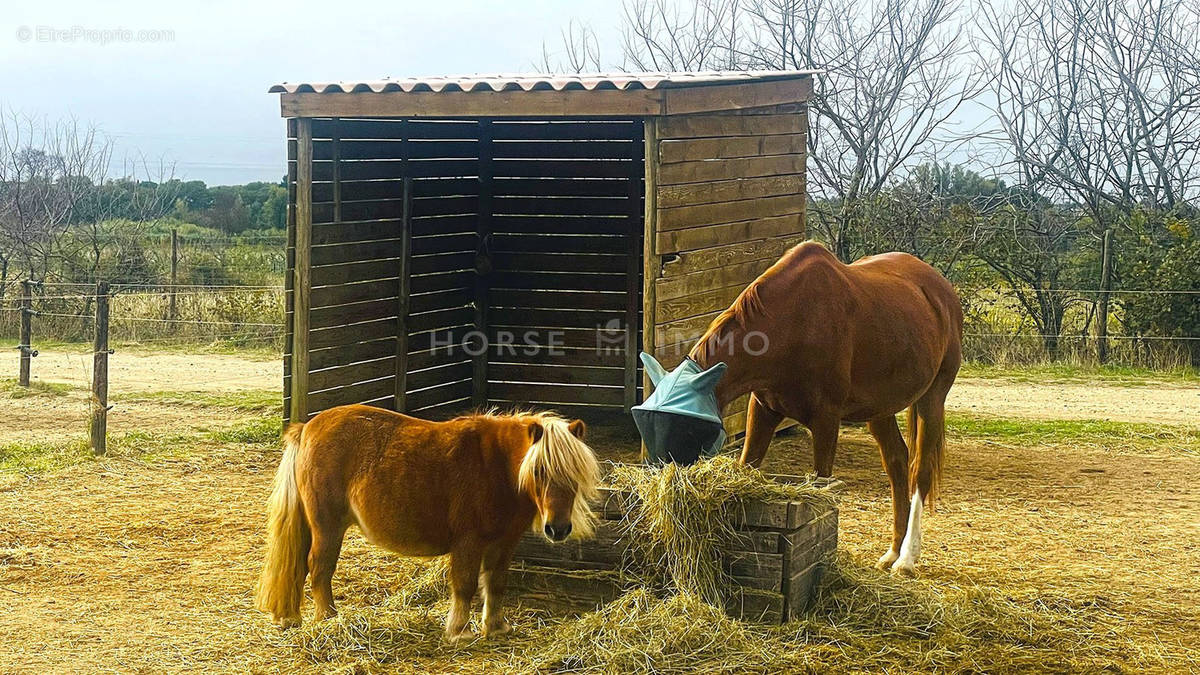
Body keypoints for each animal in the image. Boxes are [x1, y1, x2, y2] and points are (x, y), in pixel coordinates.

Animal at [254, 401, 600, 638]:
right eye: (539, 471)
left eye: (575, 474)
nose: (558, 528)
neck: (498, 466)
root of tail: (308, 427)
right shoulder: (468, 542)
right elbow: (465, 585)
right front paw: (460, 631)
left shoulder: (504, 543)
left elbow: (496, 584)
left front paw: (496, 627)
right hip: (327, 526)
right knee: (319, 568)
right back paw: (329, 618)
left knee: (301, 566)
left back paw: (292, 618)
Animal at [686, 240, 964, 571]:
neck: (792, 320)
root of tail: (942, 290)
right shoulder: (764, 410)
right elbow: (747, 465)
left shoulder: (826, 421)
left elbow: (821, 485)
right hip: (879, 410)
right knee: (897, 463)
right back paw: (893, 551)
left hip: (932, 398)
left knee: (919, 469)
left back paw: (907, 558)